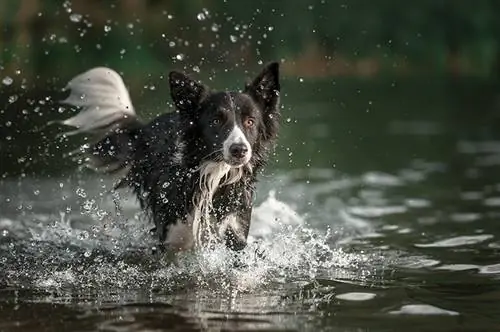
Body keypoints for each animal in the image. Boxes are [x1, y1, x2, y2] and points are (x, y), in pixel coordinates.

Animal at [58, 62, 282, 253]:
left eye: (250, 121)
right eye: (216, 121)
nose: (239, 150)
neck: (214, 176)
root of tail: (144, 130)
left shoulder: (234, 231)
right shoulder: (172, 238)